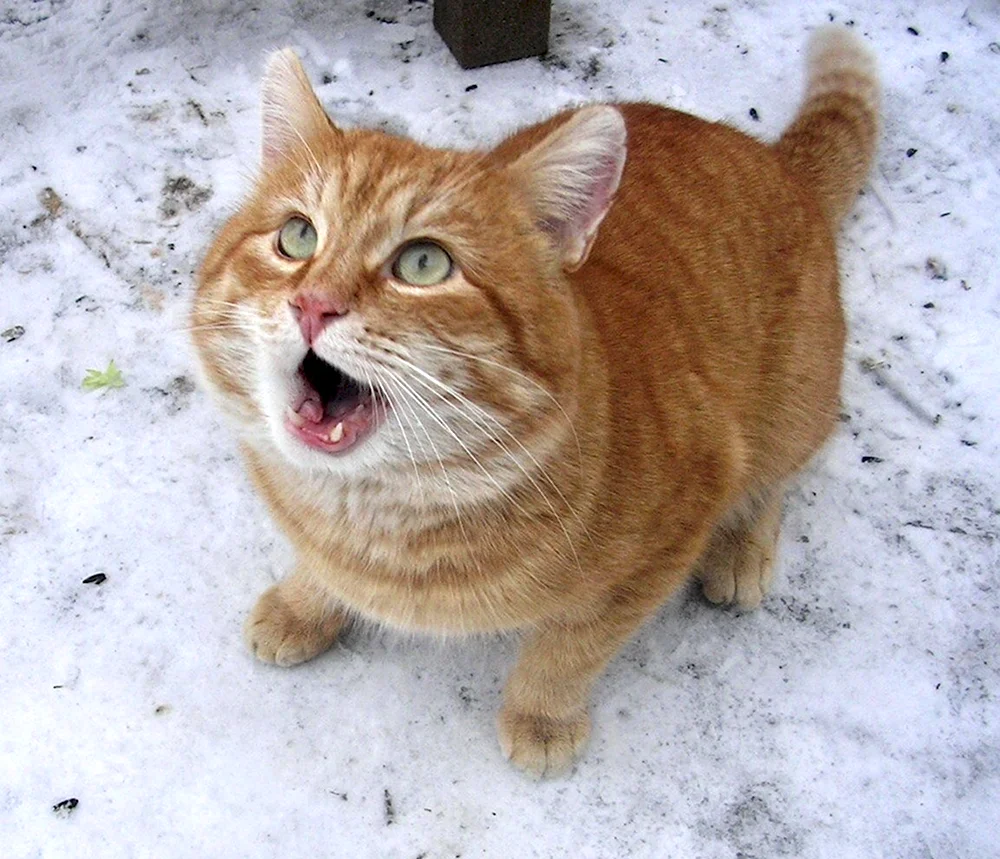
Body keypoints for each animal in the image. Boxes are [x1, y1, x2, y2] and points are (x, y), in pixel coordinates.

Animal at [189, 26, 876, 780]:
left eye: (423, 263)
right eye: (297, 236)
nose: (312, 304)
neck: (379, 516)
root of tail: (775, 159)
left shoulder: (672, 524)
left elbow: (571, 646)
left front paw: (542, 717)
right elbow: (319, 572)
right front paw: (304, 603)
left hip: (793, 404)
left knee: (777, 477)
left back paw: (742, 547)